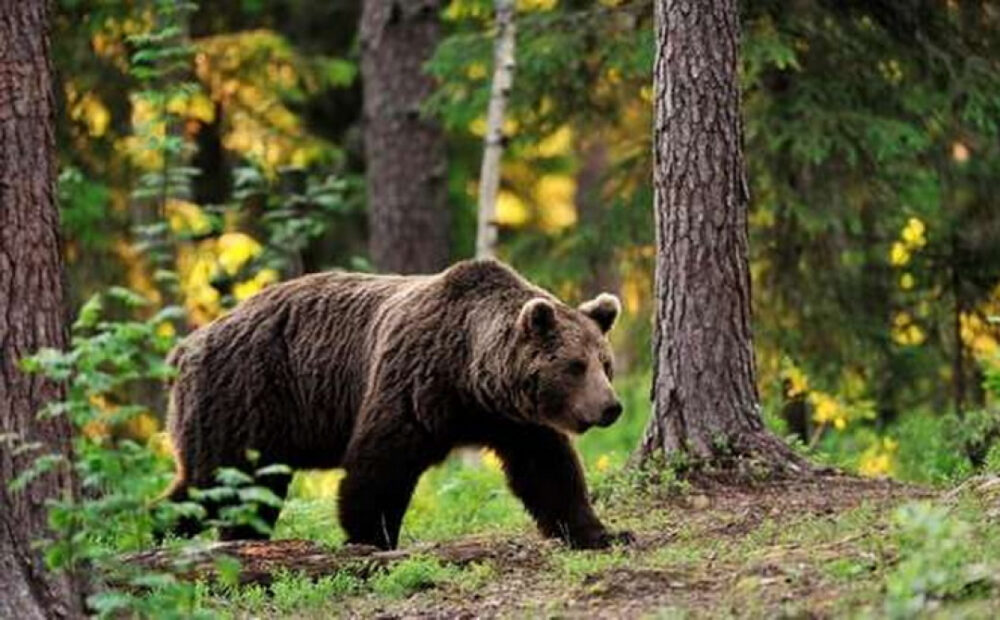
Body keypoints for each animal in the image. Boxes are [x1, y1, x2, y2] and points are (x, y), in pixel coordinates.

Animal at [167, 260, 628, 548]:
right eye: (575, 366)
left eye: (606, 363)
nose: (611, 407)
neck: (469, 377)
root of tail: (187, 346)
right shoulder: (414, 384)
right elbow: (380, 465)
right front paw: (370, 536)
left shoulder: (514, 420)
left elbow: (549, 472)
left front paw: (601, 533)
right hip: (244, 396)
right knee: (216, 485)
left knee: (245, 492)